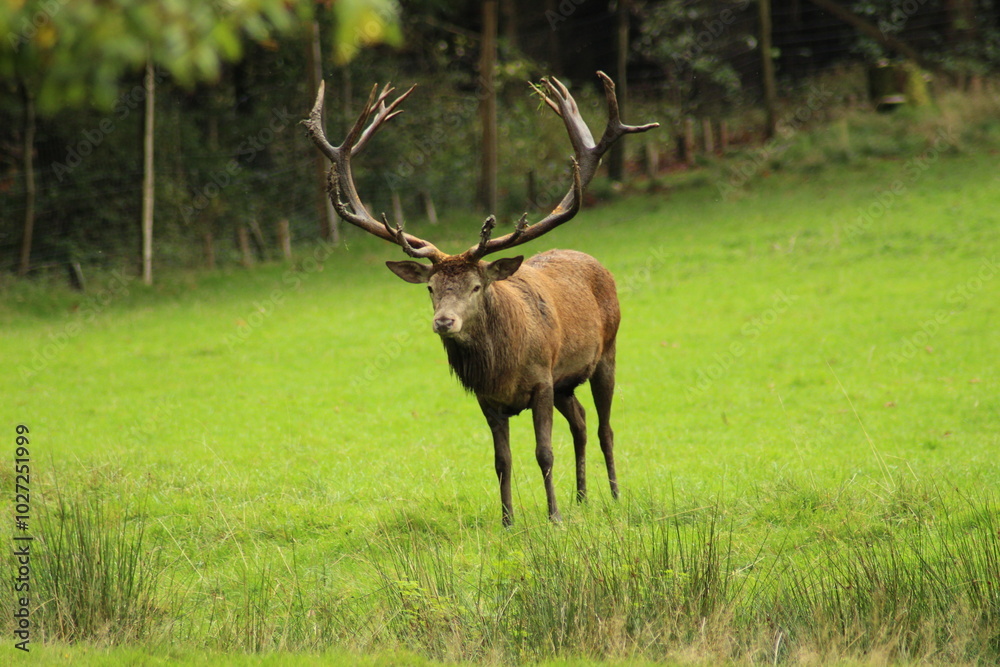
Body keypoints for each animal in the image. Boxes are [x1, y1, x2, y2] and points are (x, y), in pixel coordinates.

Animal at [304, 72, 658, 526]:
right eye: (431, 288)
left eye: (476, 286)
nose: (444, 321)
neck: (503, 368)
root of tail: (593, 261)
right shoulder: (489, 399)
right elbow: (501, 461)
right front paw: (507, 521)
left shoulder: (542, 380)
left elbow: (544, 453)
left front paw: (554, 518)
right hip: (566, 381)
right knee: (579, 420)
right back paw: (582, 497)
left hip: (607, 351)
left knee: (604, 427)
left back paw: (611, 494)